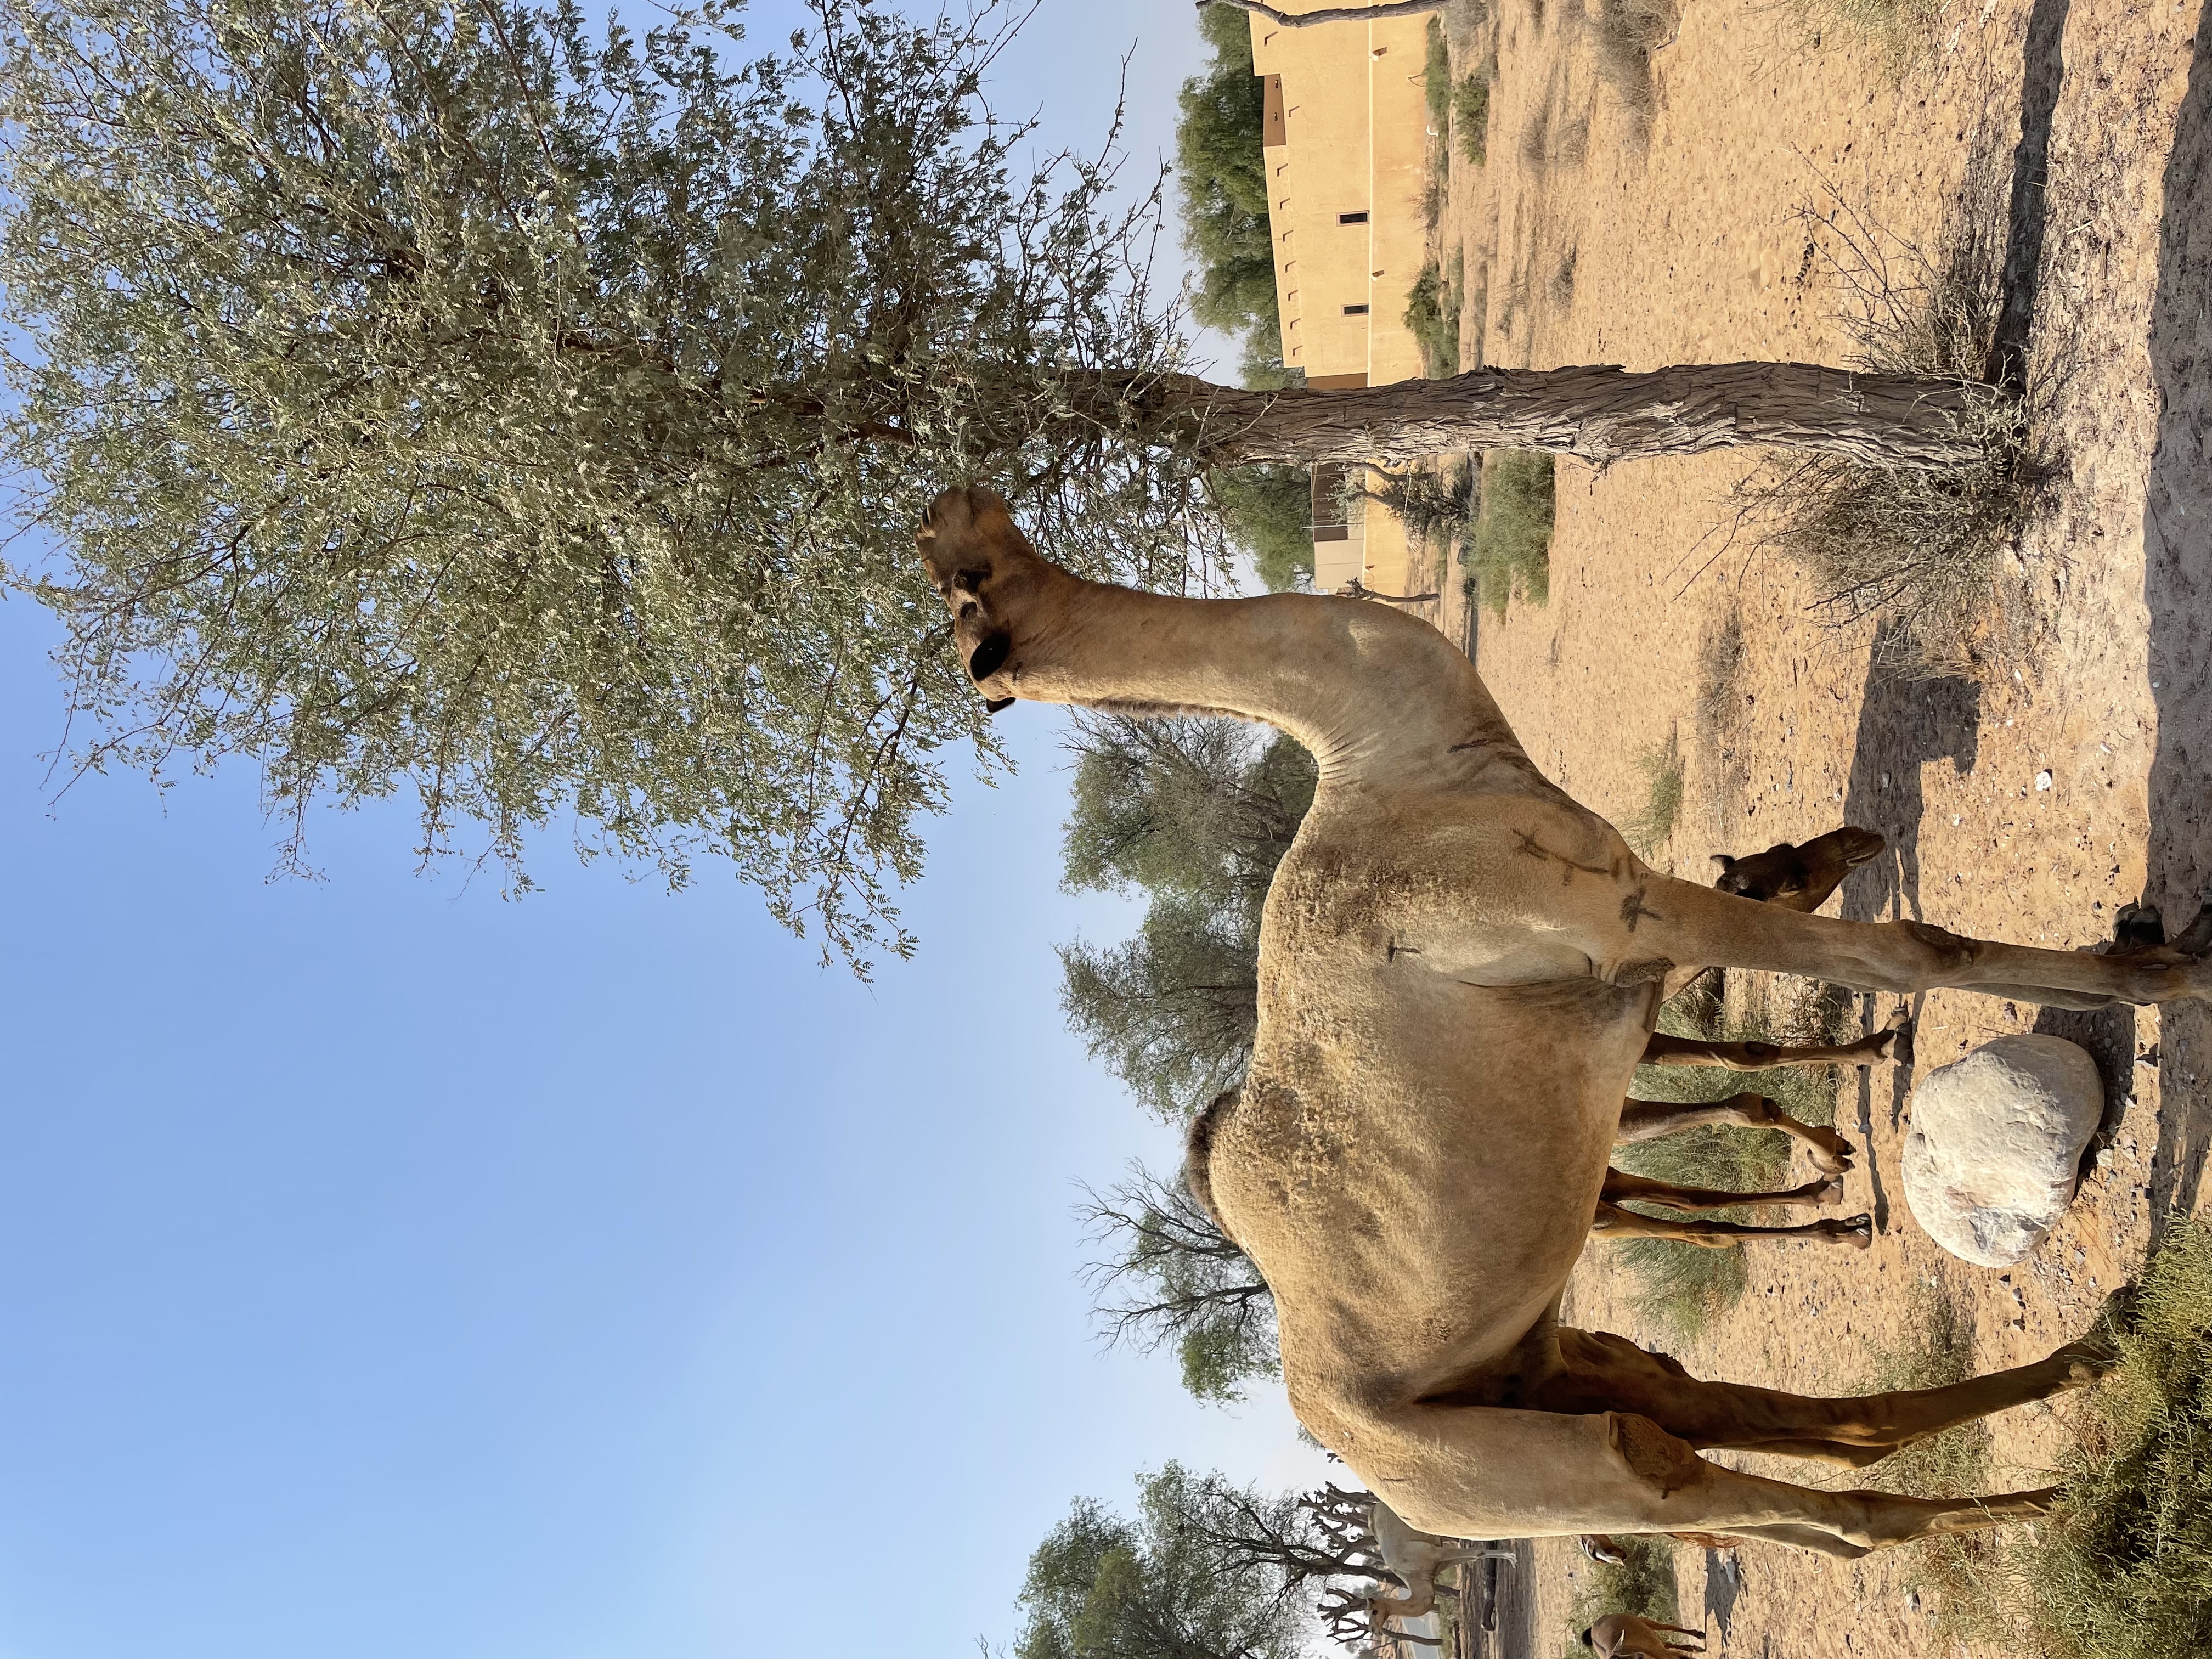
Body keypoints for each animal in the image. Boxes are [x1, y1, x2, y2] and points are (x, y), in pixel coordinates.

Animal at [915, 486, 2207, 1556]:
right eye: (965, 581)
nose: (955, 504)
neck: (1385, 758)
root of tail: (1372, 1460)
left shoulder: (1624, 951)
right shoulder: (1620, 918)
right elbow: (1915, 950)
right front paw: (2175, 972)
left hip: (1542, 1366)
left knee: (1736, 1412)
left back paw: (2092, 1365)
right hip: (1514, 1469)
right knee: (1746, 1494)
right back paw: (2045, 1497)